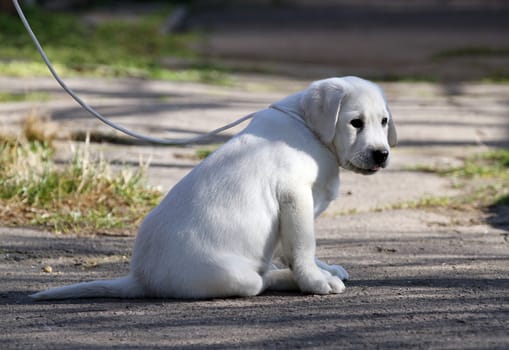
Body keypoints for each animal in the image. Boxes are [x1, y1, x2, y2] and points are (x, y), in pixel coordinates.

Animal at [30, 76, 396, 300]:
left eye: (384, 122)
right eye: (355, 123)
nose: (382, 154)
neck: (308, 128)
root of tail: (141, 279)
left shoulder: (293, 211)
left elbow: (294, 247)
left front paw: (322, 268)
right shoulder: (294, 196)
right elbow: (304, 246)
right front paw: (315, 280)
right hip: (235, 277)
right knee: (260, 281)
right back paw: (286, 280)